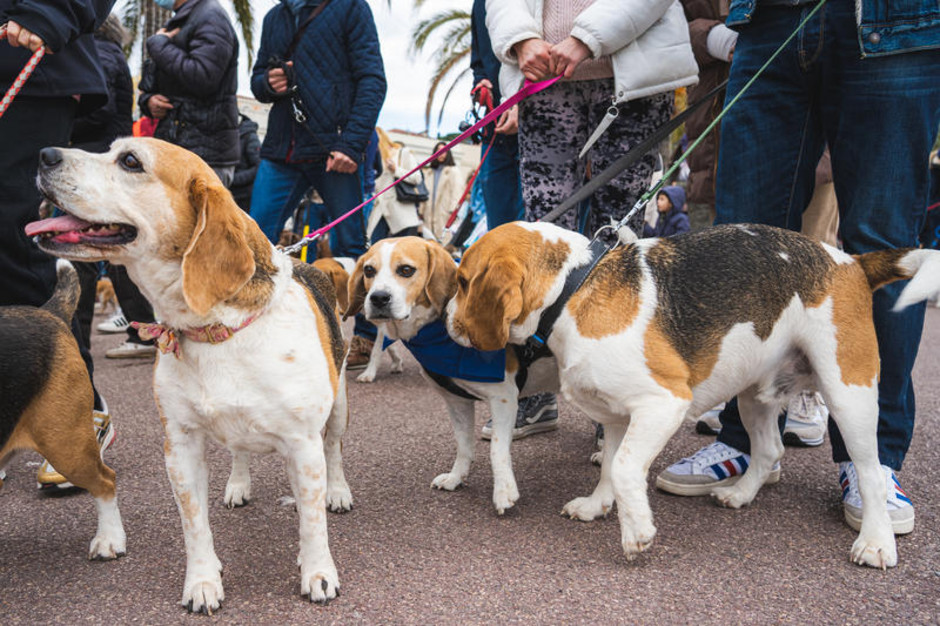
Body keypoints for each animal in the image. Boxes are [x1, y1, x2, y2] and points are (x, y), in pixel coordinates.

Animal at [31, 139, 352, 612]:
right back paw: (238, 484)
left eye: (130, 161)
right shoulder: (180, 445)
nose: (45, 155)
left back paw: (338, 491)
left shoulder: (303, 443)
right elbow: (193, 523)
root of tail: (313, 263)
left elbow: (312, 523)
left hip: (338, 409)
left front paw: (318, 573)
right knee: (240, 452)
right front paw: (202, 581)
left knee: (334, 450)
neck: (217, 331)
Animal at [346, 234, 560, 512]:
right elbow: (463, 444)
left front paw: (504, 491)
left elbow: (497, 449)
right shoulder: (456, 400)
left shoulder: (503, 398)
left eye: (406, 270)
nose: (378, 298)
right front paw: (456, 478)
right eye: (369, 270)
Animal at [444, 219, 940, 564]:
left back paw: (875, 542)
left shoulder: (663, 403)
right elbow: (610, 465)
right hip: (754, 393)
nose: (446, 318)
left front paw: (636, 533)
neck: (575, 287)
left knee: (870, 470)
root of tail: (851, 261)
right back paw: (740, 494)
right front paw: (598, 506)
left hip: (848, 391)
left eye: (464, 281)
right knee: (769, 449)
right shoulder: (618, 415)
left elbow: (623, 468)